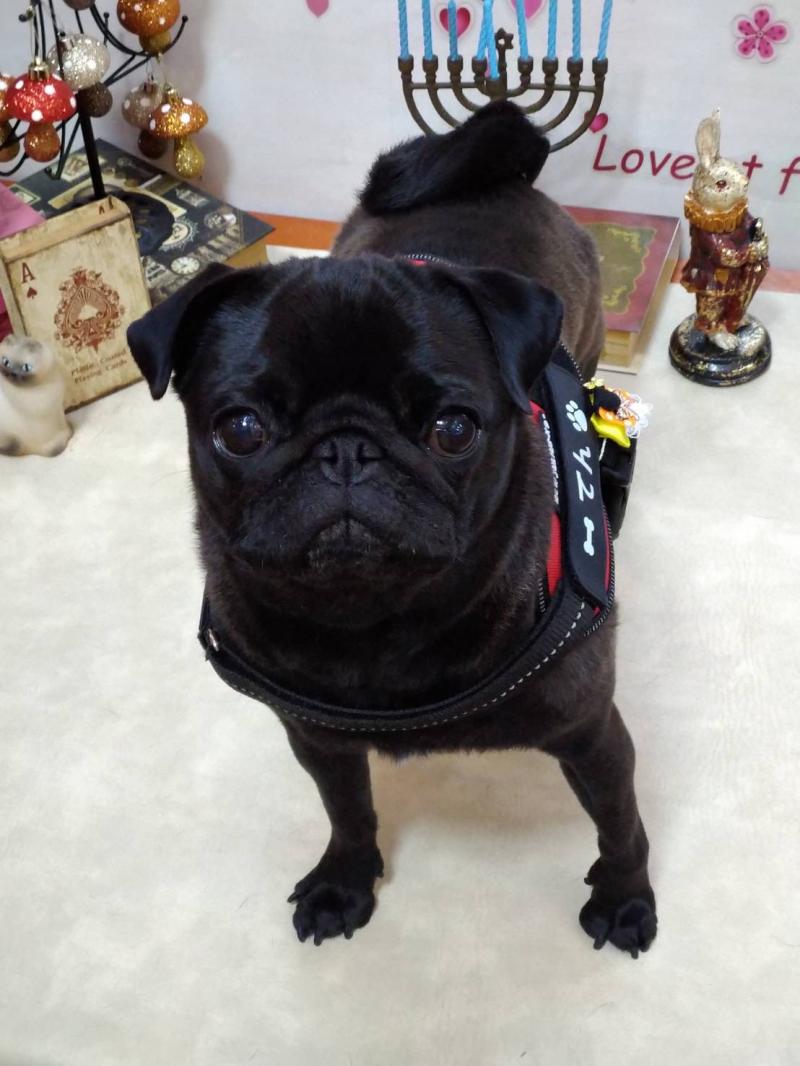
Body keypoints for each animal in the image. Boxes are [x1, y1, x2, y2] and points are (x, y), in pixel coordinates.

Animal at [128, 102, 656, 956]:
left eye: (454, 429)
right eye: (239, 429)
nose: (348, 448)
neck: (376, 625)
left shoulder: (591, 730)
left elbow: (620, 822)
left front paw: (626, 897)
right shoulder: (317, 738)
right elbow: (348, 811)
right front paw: (345, 882)